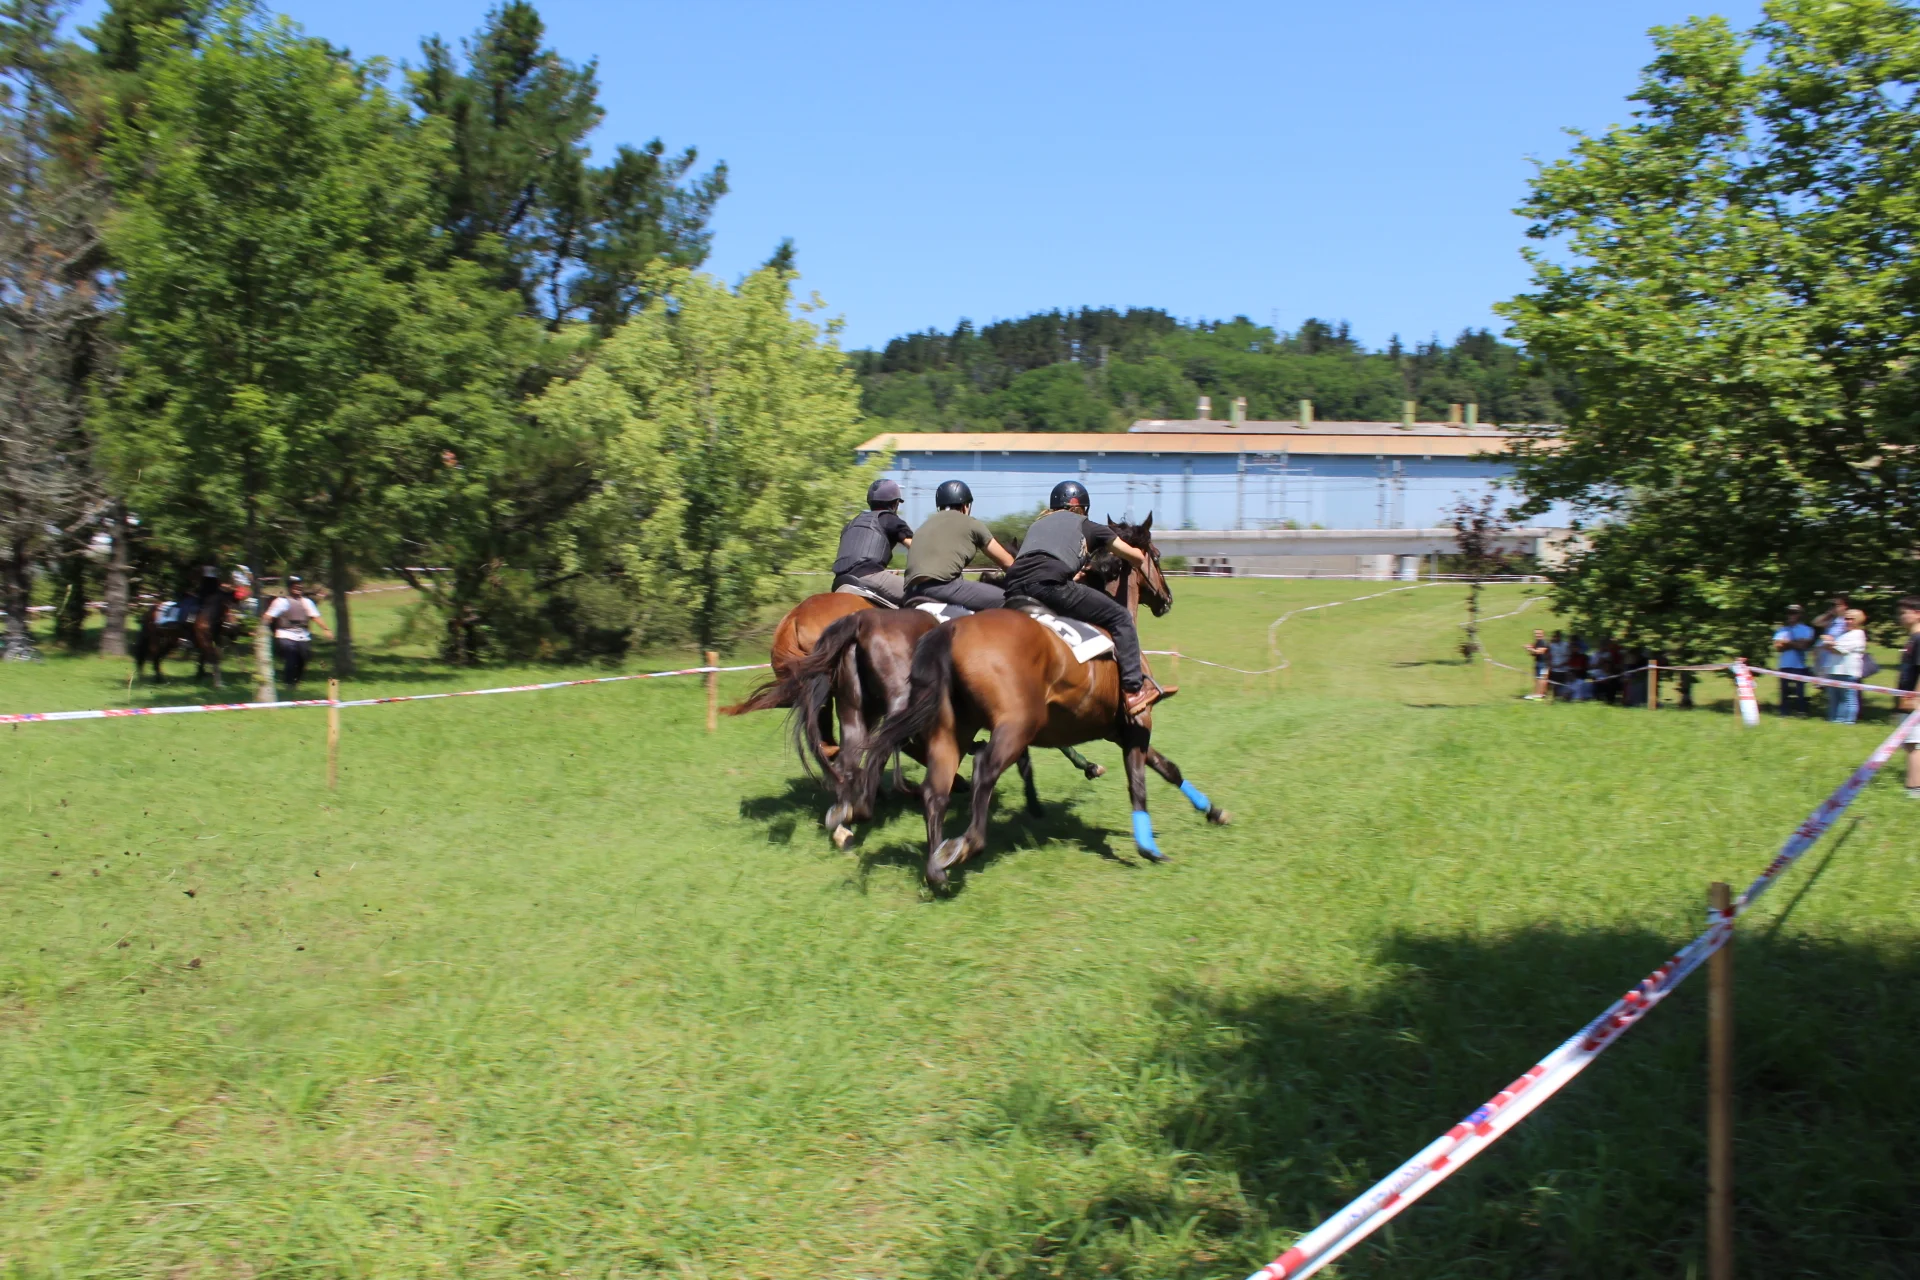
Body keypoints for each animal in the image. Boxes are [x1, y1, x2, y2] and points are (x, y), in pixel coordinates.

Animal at [858, 514, 1229, 888]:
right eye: (1155, 554)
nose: (1167, 598)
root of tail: (950, 631)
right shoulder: (1138, 721)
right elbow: (1138, 782)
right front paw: (1148, 848)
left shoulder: (1118, 729)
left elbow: (1168, 767)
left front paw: (1213, 811)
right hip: (1016, 726)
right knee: (982, 770)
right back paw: (964, 845)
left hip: (952, 729)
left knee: (936, 789)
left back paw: (937, 869)